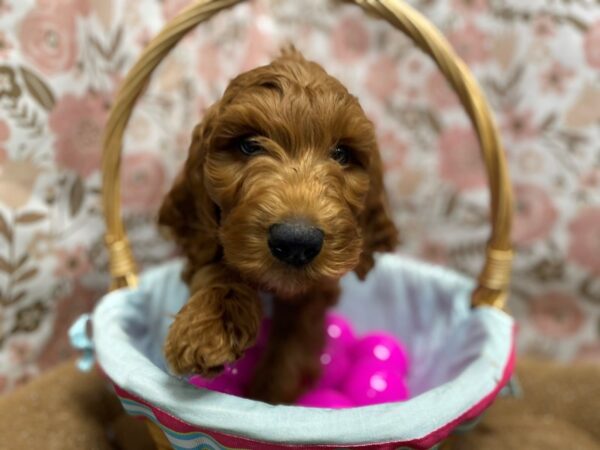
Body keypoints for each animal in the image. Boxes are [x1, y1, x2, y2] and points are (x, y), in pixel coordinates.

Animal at [158, 49, 398, 404]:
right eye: (248, 145)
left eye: (341, 153)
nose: (297, 242)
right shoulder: (206, 246)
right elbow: (216, 268)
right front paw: (208, 327)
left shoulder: (318, 289)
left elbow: (295, 339)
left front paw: (269, 394)